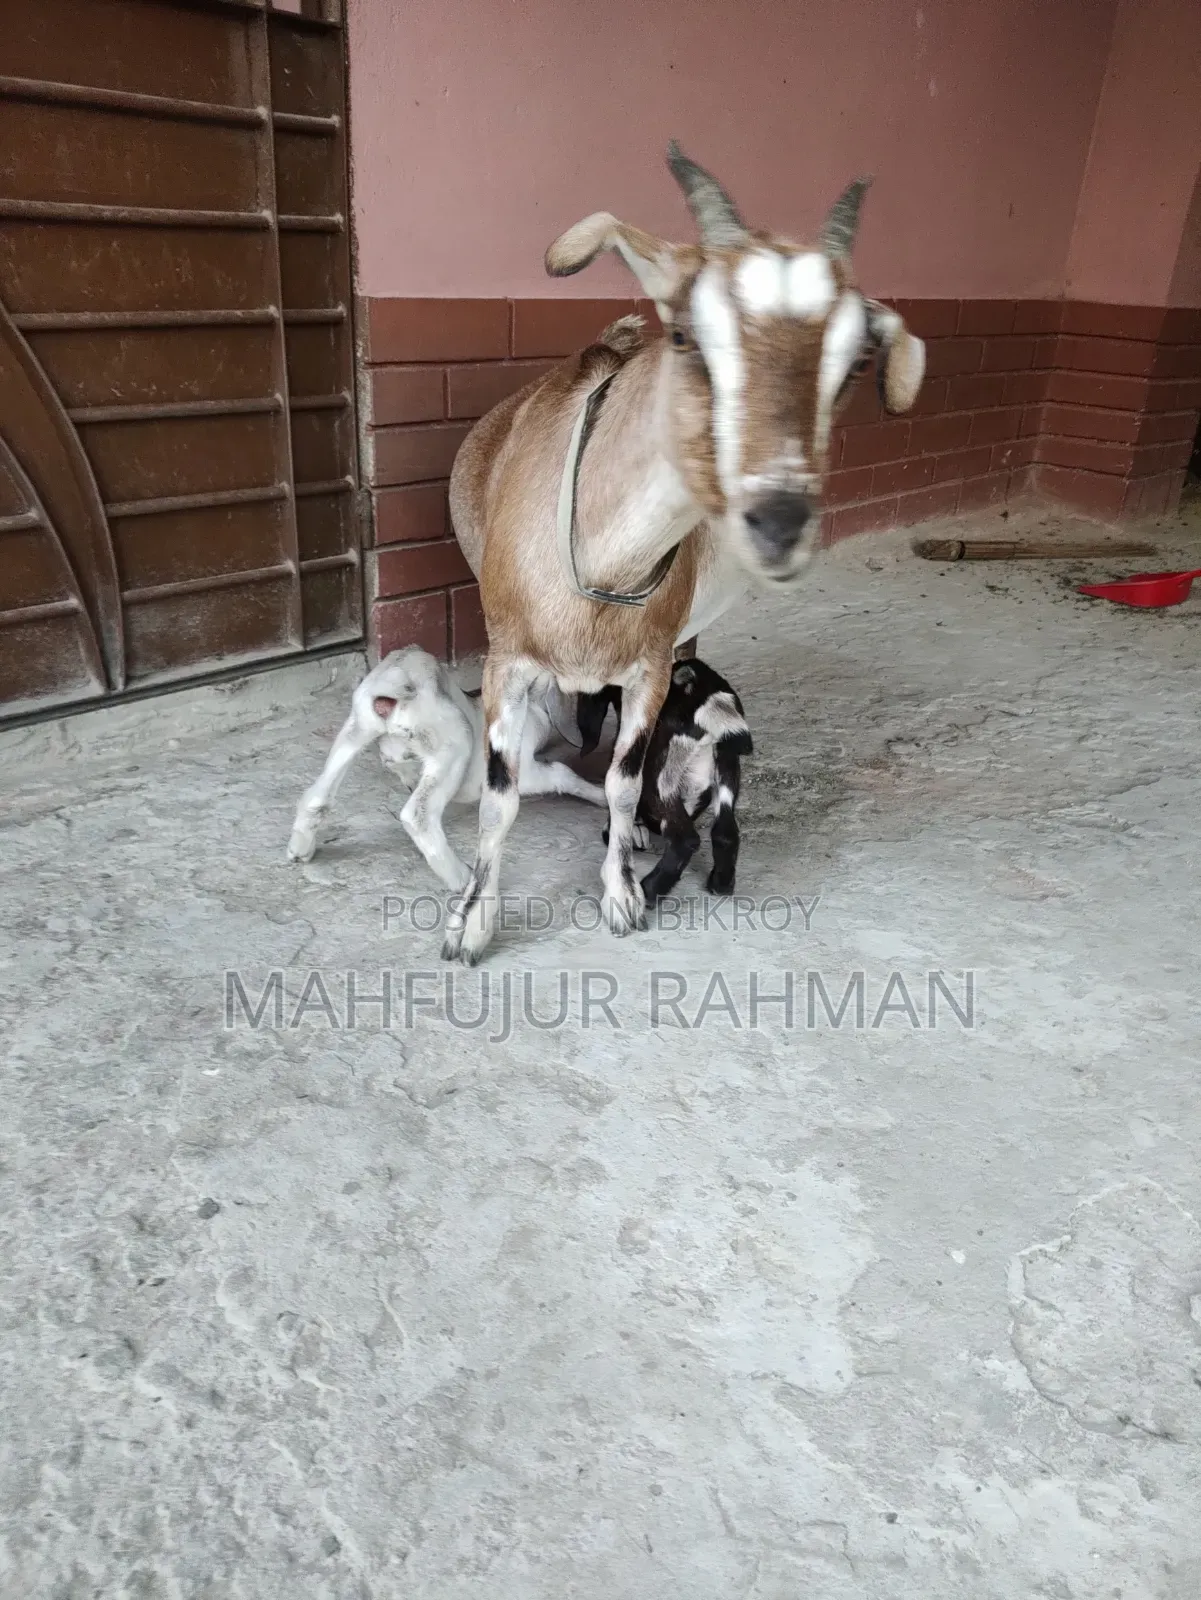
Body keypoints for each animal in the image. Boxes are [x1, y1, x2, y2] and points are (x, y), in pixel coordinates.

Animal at [287, 647, 606, 890]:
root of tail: (395, 686)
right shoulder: (522, 772)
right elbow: (562, 773)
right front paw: (601, 796)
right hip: (455, 741)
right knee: (418, 815)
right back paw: (461, 878)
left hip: (356, 729)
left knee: (317, 796)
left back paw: (300, 849)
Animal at [583, 657, 752, 903]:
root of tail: (701, 691)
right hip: (726, 767)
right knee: (725, 832)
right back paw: (721, 884)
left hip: (659, 779)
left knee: (685, 839)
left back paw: (650, 890)